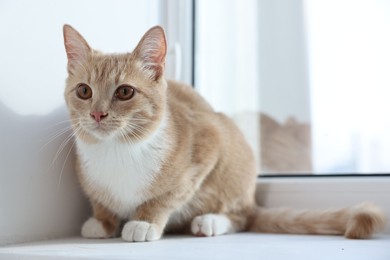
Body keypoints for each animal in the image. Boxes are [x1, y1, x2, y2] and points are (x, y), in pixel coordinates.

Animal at [62, 24, 386, 242]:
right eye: (84, 91)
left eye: (125, 92)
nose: (97, 114)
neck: (117, 149)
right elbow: (100, 200)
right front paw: (102, 221)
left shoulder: (209, 144)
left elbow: (168, 196)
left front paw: (144, 221)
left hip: (234, 157)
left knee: (242, 216)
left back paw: (211, 221)